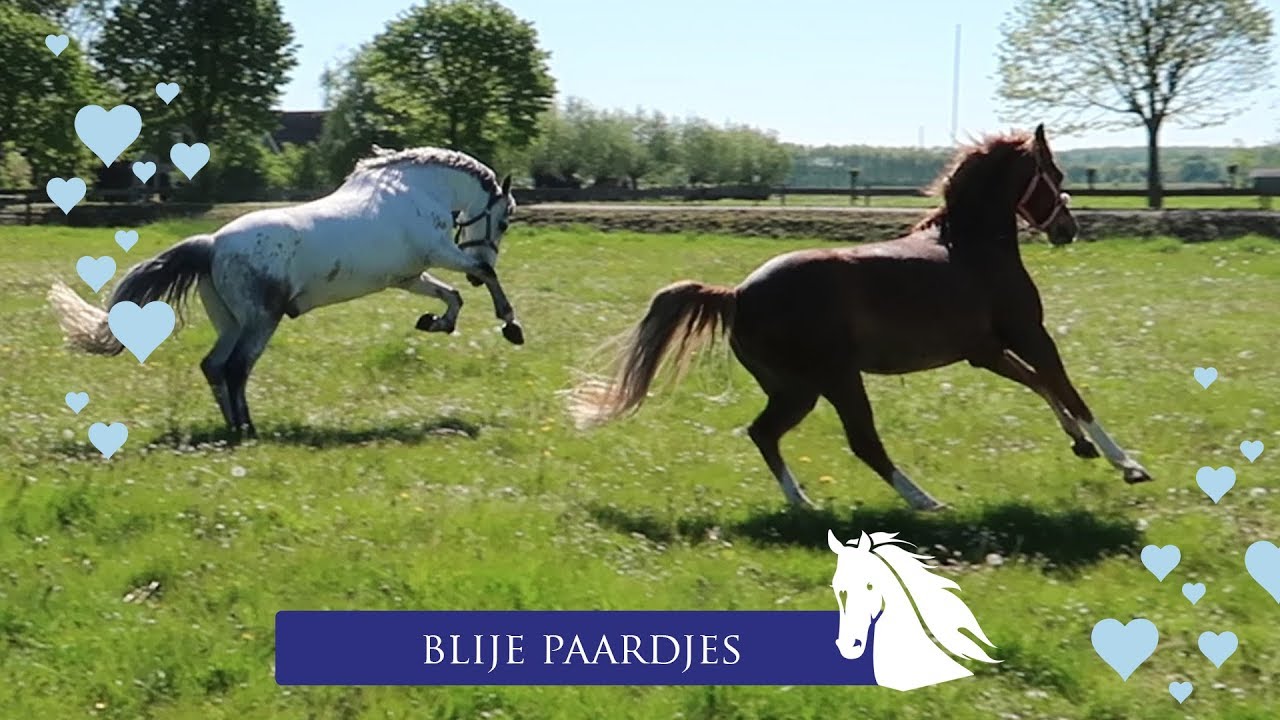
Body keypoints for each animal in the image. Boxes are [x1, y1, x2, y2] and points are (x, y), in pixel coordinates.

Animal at [49, 146, 523, 438]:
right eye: (502, 221)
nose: (493, 244)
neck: (415, 192)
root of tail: (213, 244)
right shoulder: (439, 252)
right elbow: (482, 274)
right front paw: (510, 325)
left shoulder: (409, 277)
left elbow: (452, 296)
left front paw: (435, 323)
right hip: (262, 320)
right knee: (236, 368)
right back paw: (249, 430)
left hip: (232, 322)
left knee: (214, 366)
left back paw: (233, 428)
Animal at [570, 124, 1153, 511]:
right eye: (1053, 172)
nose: (1068, 229)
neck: (970, 248)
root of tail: (736, 295)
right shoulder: (1029, 333)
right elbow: (1067, 388)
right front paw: (1128, 464)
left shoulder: (983, 351)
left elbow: (1041, 386)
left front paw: (1081, 446)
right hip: (836, 378)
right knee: (862, 441)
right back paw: (925, 501)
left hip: (796, 389)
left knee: (763, 432)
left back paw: (803, 504)